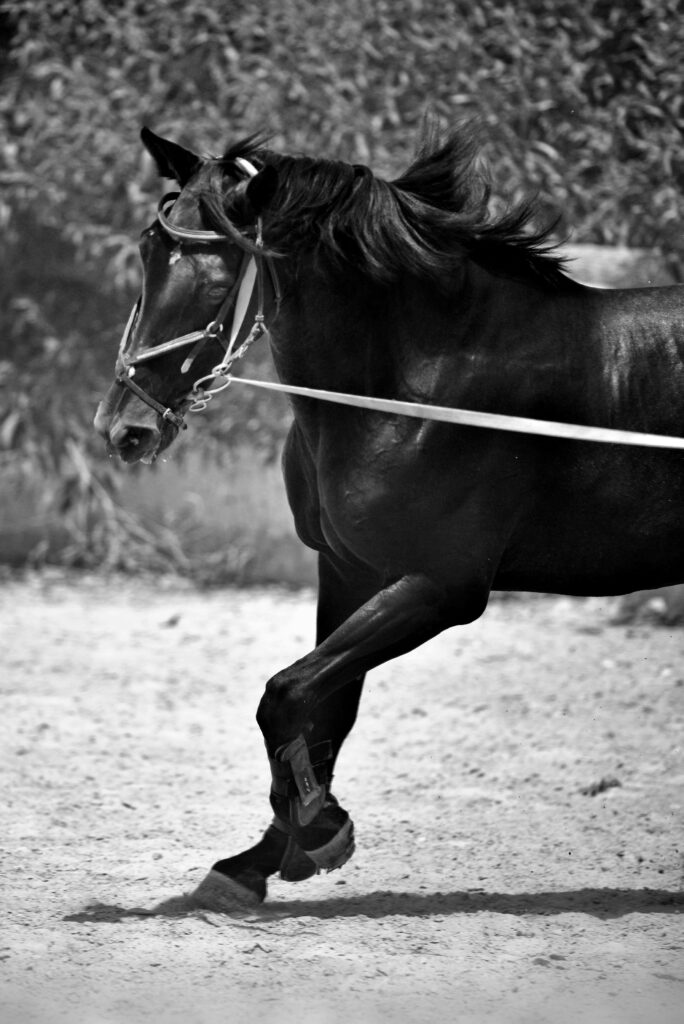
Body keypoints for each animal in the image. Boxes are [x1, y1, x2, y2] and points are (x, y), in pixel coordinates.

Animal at [94, 122, 684, 911]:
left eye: (218, 279)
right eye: (147, 250)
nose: (124, 429)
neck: (417, 386)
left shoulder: (442, 587)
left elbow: (285, 695)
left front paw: (318, 828)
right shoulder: (350, 570)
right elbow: (323, 708)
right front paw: (261, 859)